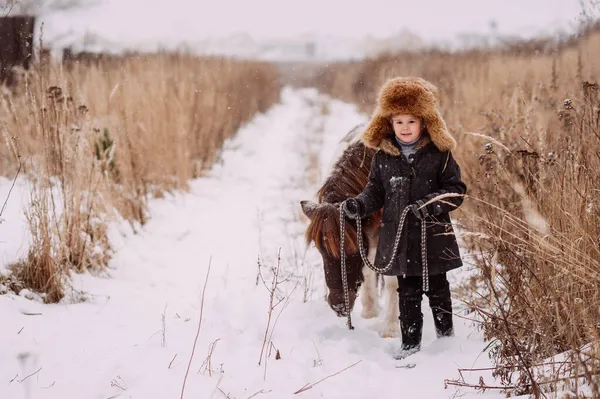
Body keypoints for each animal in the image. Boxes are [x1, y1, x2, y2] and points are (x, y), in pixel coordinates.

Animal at [300, 124, 398, 338]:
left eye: (351, 250)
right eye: (320, 250)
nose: (339, 306)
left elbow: (392, 281)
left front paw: (391, 328)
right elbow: (369, 273)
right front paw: (371, 312)